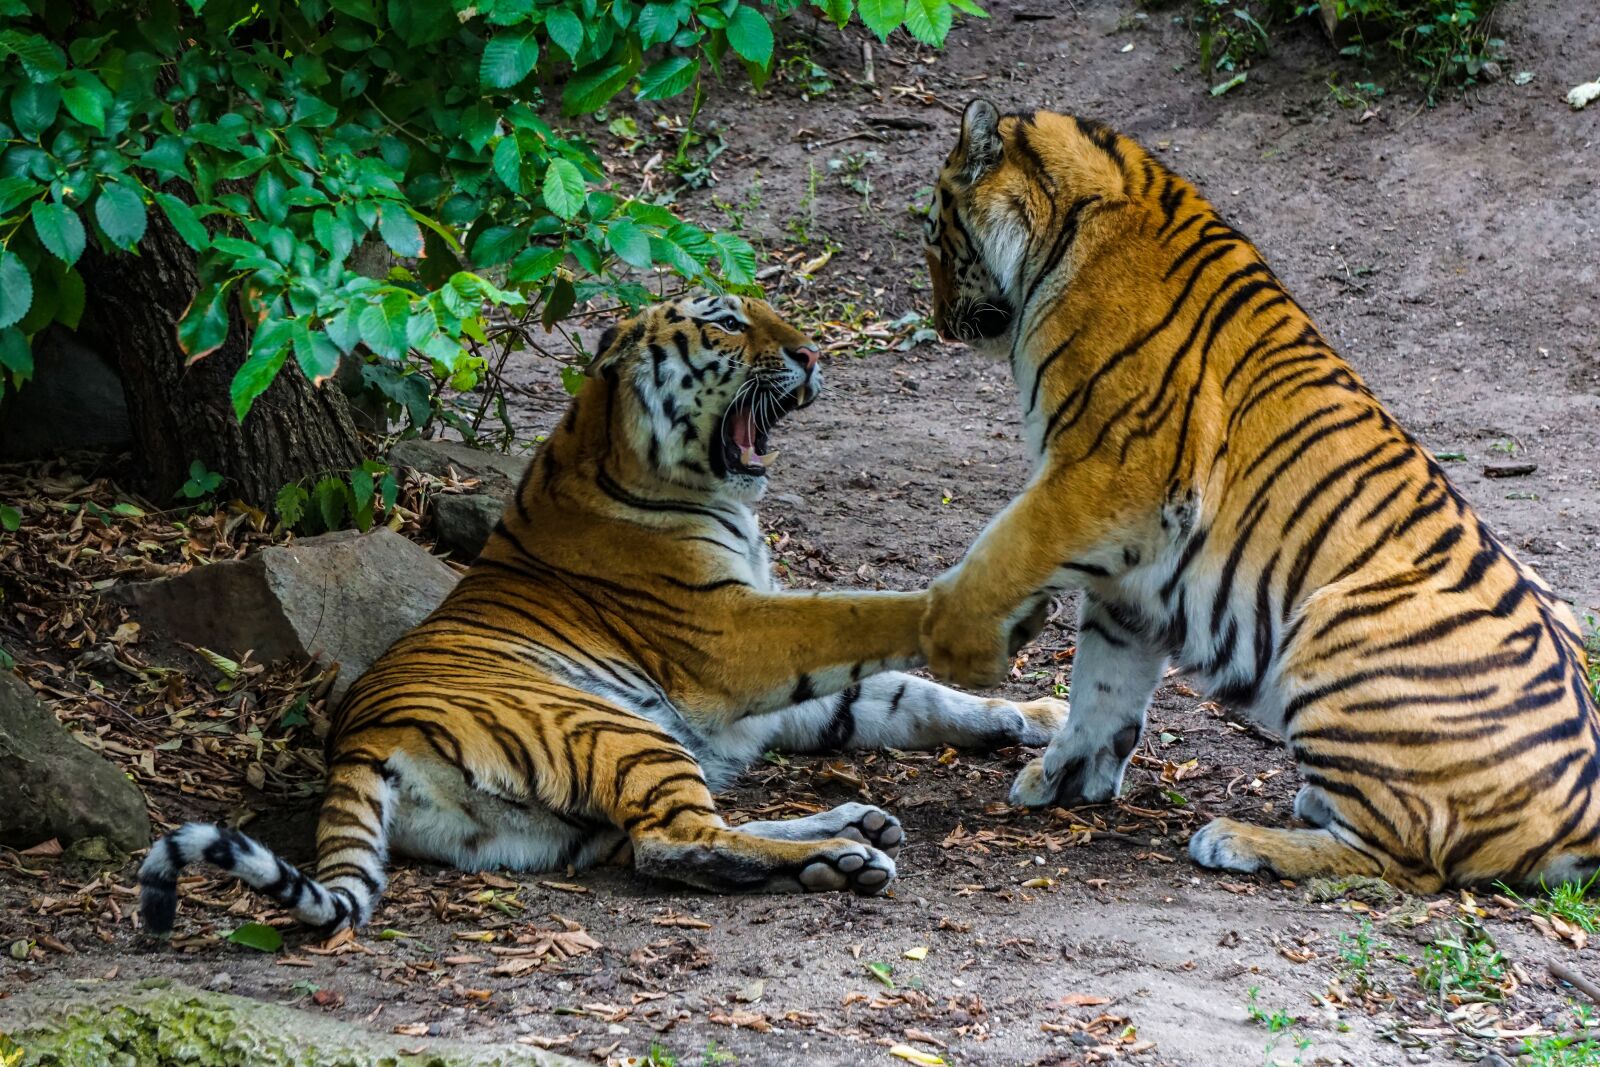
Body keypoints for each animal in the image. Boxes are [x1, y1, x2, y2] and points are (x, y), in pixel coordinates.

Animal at [140, 292, 1062, 934]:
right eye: (729, 323)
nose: (811, 354)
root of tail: (358, 741)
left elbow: (914, 696)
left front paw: (1036, 717)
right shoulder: (735, 638)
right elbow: (859, 616)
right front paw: (973, 617)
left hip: (566, 820)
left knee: (676, 834)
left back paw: (848, 832)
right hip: (616, 727)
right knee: (675, 840)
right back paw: (843, 852)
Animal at [921, 102, 1593, 895]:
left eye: (933, 232)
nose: (939, 323)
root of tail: (1585, 811)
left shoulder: (1103, 474)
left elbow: (1002, 550)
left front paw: (951, 635)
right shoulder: (1132, 567)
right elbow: (1103, 684)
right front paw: (1064, 776)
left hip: (1333, 630)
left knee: (1402, 858)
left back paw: (1238, 839)